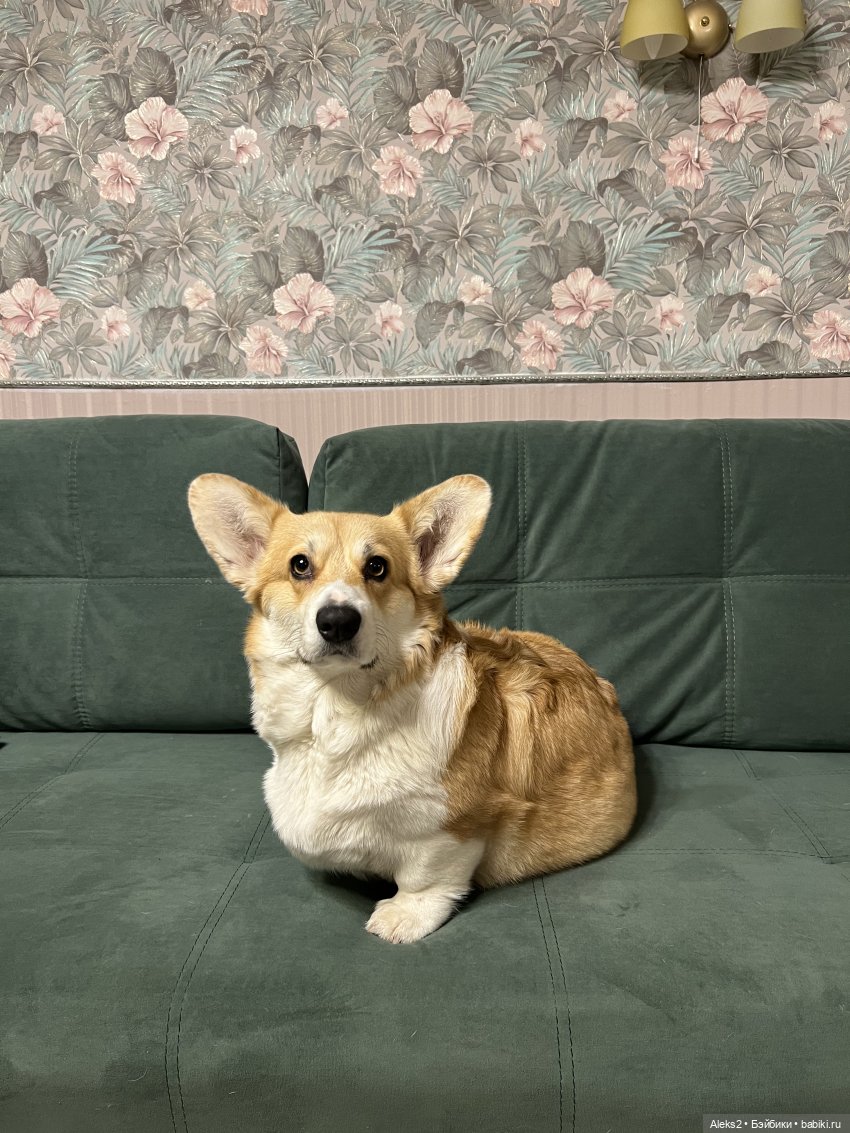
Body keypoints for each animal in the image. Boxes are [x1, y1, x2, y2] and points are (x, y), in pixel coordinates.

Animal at [188, 473, 637, 943]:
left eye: (377, 567)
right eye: (300, 565)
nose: (337, 621)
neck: (336, 707)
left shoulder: (454, 831)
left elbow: (427, 877)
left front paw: (402, 917)